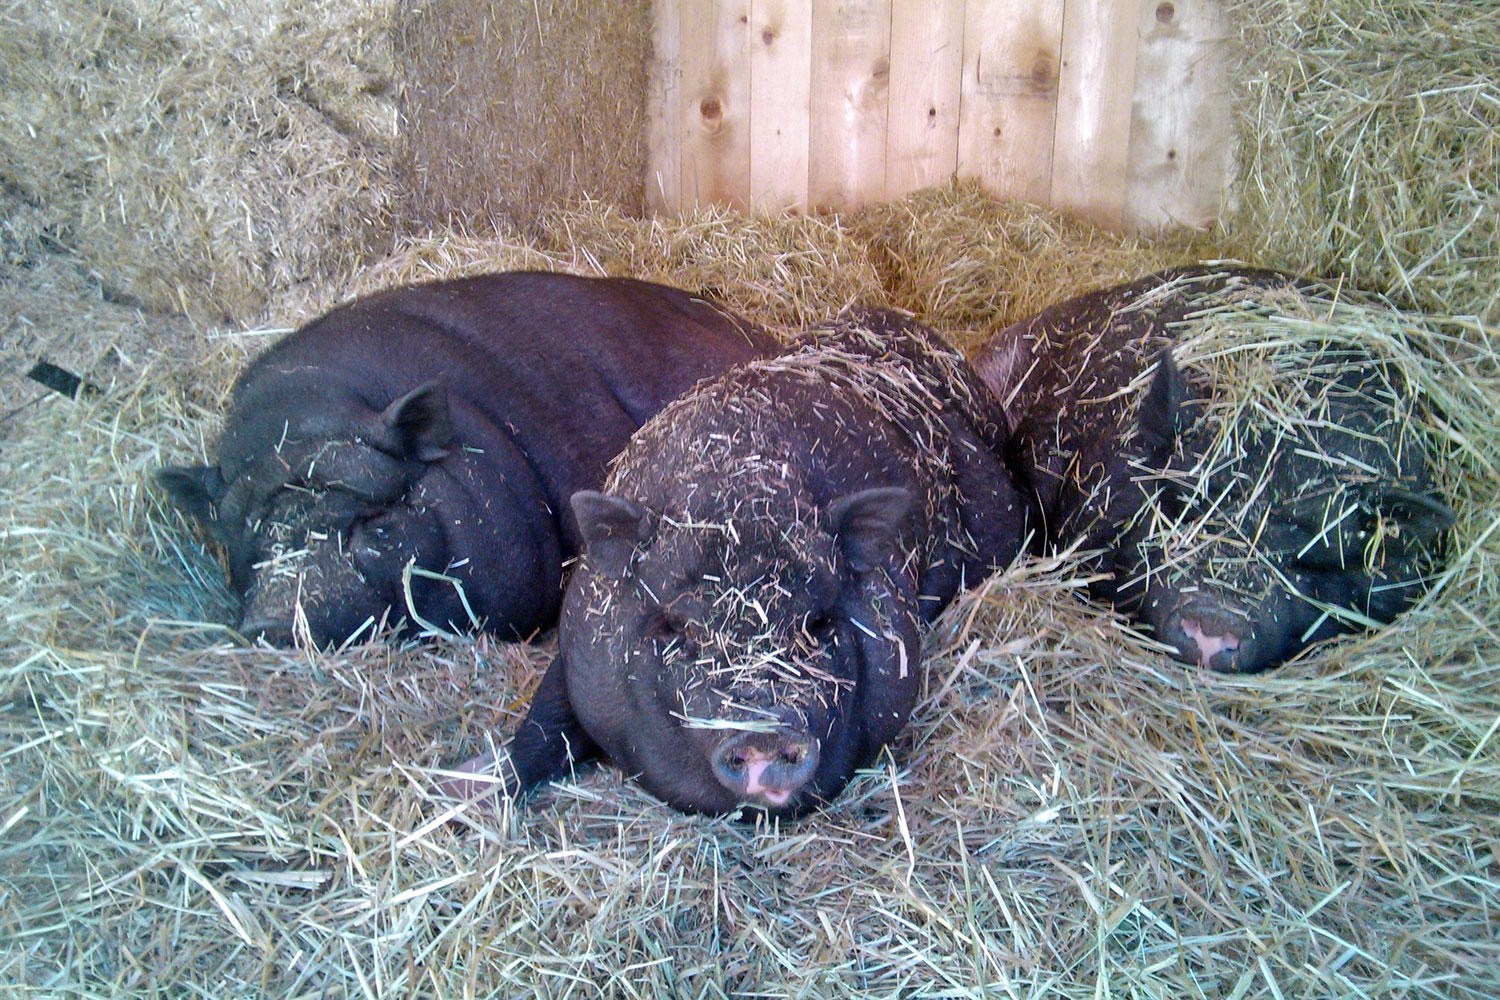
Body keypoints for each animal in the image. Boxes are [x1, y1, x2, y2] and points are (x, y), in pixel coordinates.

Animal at [438, 314, 1038, 821]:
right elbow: (547, 724)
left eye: (819, 624)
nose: (764, 736)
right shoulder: (580, 648)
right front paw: (464, 792)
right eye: (675, 629)